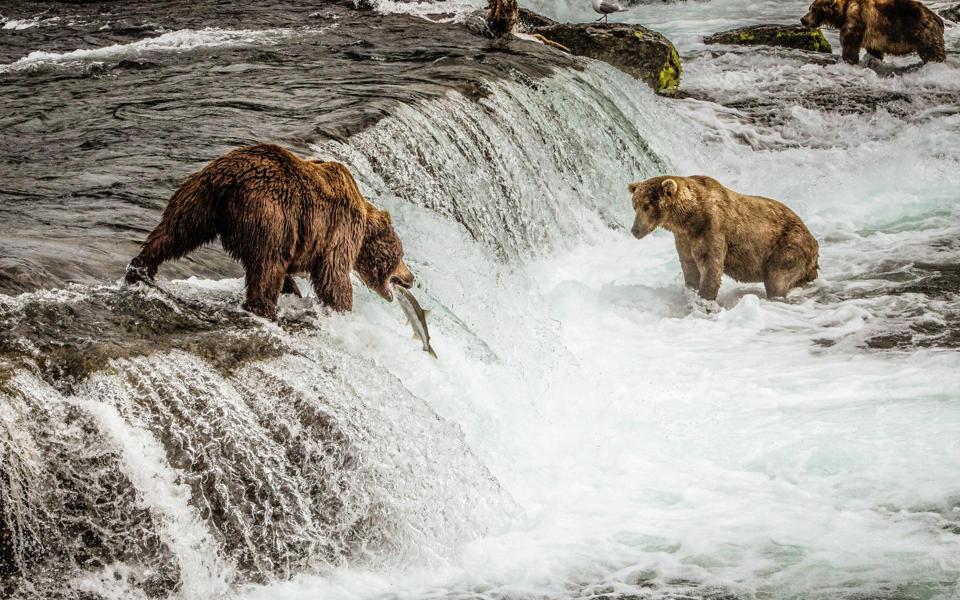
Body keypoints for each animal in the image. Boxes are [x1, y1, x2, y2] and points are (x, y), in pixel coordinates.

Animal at [124, 144, 412, 322]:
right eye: (400, 257)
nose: (412, 278)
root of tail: (230, 179)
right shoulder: (338, 230)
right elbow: (333, 275)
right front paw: (342, 309)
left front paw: (295, 292)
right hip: (271, 214)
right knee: (268, 264)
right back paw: (264, 310)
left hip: (200, 197)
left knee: (174, 233)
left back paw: (139, 270)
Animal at [628, 177, 820, 300]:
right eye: (634, 205)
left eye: (646, 206)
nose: (635, 230)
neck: (688, 218)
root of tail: (813, 239)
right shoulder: (683, 238)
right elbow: (689, 265)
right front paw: (691, 289)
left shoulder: (711, 228)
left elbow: (710, 264)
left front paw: (705, 297)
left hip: (788, 246)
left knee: (776, 276)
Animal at [800, 0, 948, 64]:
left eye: (813, 9)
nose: (803, 19)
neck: (843, 13)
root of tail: (937, 18)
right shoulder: (873, 37)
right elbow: (874, 51)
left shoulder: (857, 21)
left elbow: (850, 45)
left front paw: (849, 60)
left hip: (923, 33)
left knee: (932, 52)